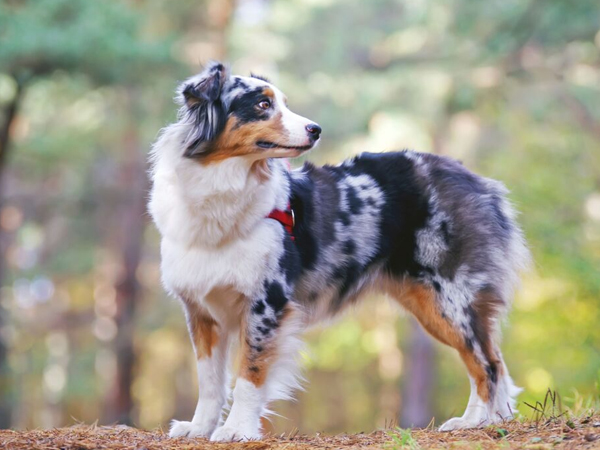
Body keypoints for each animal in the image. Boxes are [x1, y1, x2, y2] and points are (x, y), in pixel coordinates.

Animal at [149, 61, 528, 442]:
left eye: (283, 103)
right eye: (262, 104)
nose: (315, 129)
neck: (222, 187)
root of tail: (475, 180)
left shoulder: (266, 303)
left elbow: (249, 373)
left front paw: (237, 429)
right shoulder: (201, 309)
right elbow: (210, 380)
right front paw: (200, 427)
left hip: (449, 298)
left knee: (487, 363)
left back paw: (473, 421)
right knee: (494, 360)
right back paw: (493, 419)